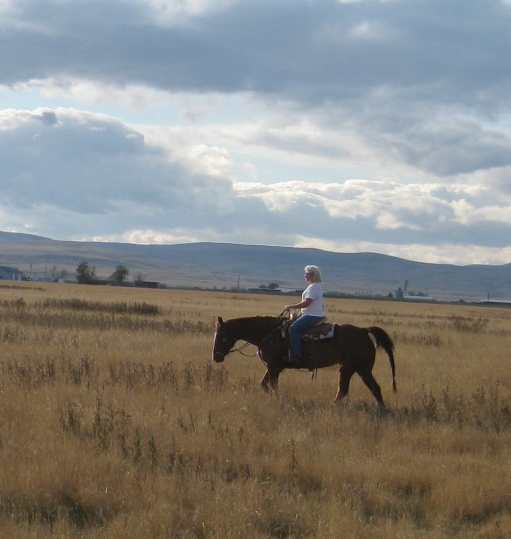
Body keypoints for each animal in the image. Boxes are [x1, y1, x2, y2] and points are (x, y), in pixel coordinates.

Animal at [212, 314, 396, 408]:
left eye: (220, 336)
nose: (216, 356)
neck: (269, 333)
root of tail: (364, 331)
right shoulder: (274, 367)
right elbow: (264, 385)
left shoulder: (273, 367)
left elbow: (272, 386)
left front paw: (277, 400)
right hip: (347, 368)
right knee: (343, 390)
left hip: (363, 369)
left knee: (375, 388)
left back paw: (381, 411)